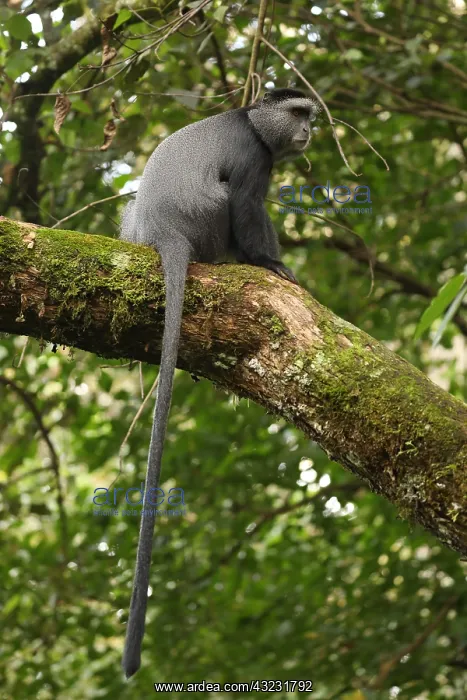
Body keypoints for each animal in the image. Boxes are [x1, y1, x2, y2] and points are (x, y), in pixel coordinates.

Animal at [119, 87, 318, 678]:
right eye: (298, 114)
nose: (310, 132)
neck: (252, 119)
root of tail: (163, 231)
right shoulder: (256, 158)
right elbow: (250, 207)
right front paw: (273, 264)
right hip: (209, 220)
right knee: (232, 207)